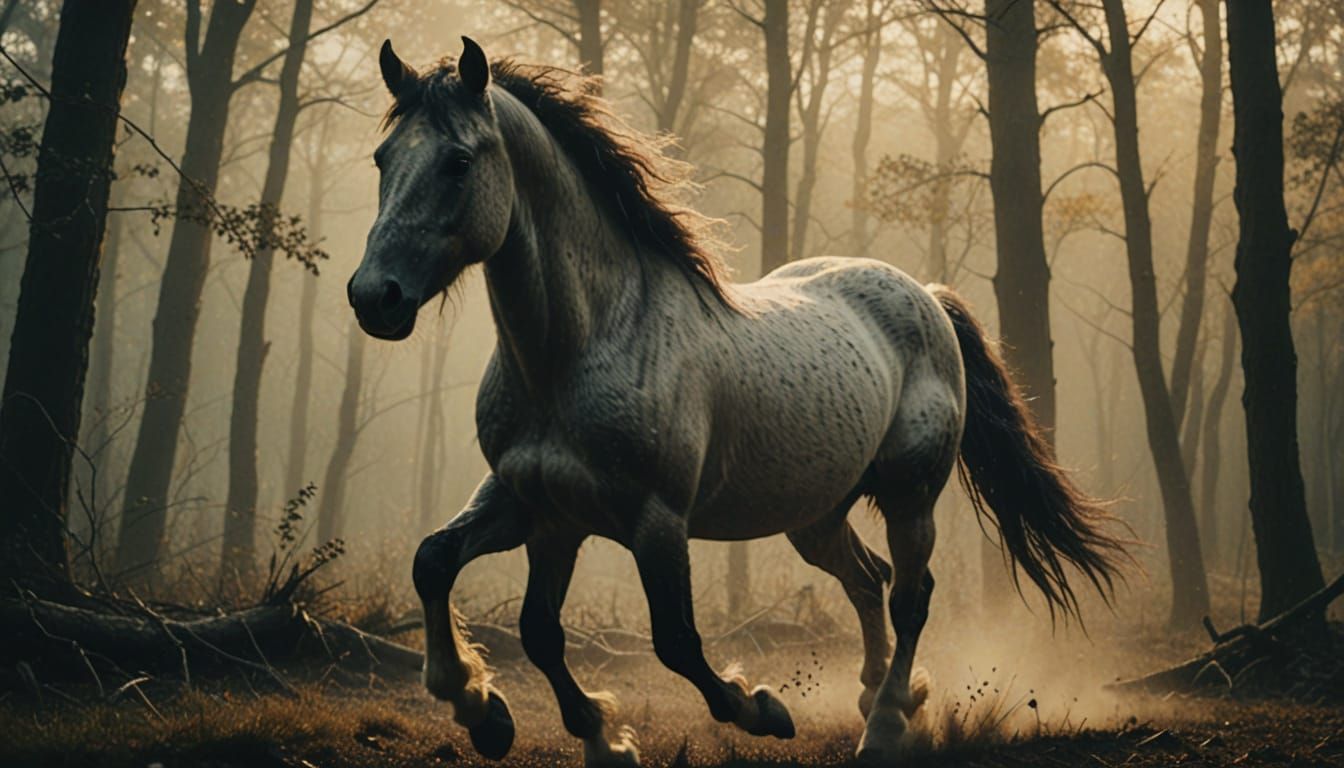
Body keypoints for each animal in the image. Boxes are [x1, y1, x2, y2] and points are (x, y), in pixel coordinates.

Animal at [348, 37, 1127, 766]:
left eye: (457, 162)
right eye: (383, 159)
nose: (373, 296)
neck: (581, 346)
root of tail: (925, 295)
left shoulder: (655, 519)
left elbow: (676, 641)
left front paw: (759, 708)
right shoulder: (539, 506)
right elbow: (465, 583)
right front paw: (504, 716)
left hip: (911, 494)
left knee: (910, 596)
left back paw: (884, 726)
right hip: (815, 515)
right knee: (869, 581)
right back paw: (880, 695)